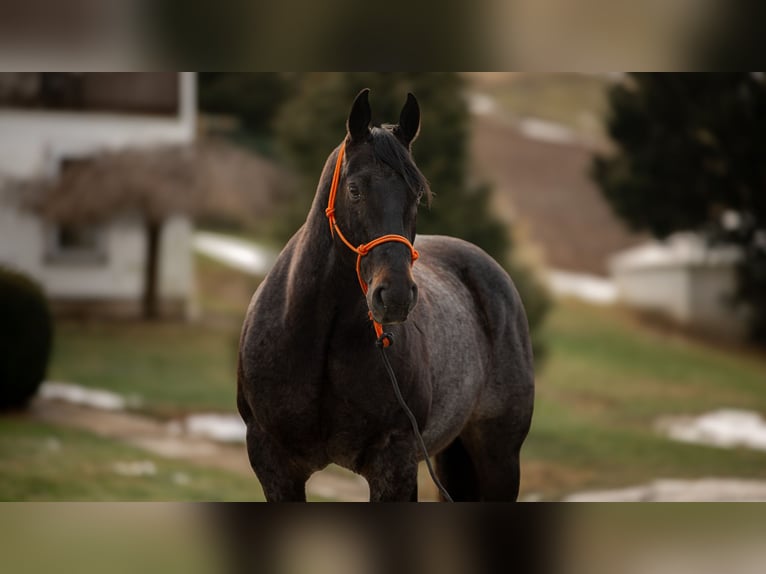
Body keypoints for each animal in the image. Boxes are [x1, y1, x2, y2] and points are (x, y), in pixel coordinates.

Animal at [237, 88, 536, 502]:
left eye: (417, 194)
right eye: (355, 189)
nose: (394, 295)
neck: (317, 339)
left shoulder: (394, 463)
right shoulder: (274, 465)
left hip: (497, 458)